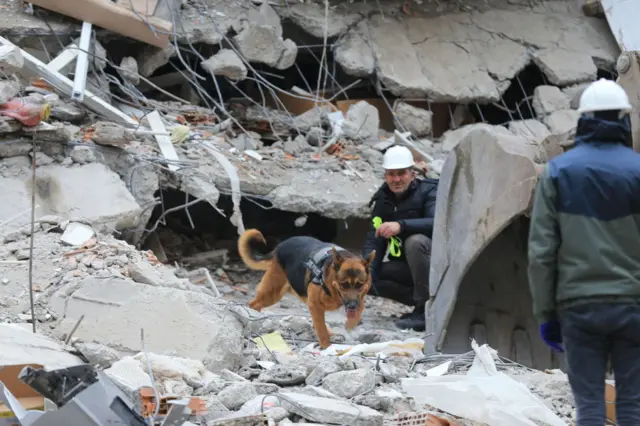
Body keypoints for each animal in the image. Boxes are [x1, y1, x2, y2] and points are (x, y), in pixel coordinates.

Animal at [238, 230, 376, 350]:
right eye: (344, 285)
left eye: (360, 285)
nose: (352, 306)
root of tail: (280, 246)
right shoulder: (315, 305)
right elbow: (322, 330)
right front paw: (327, 347)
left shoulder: (359, 300)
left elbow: (356, 315)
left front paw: (349, 325)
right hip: (271, 293)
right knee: (254, 304)